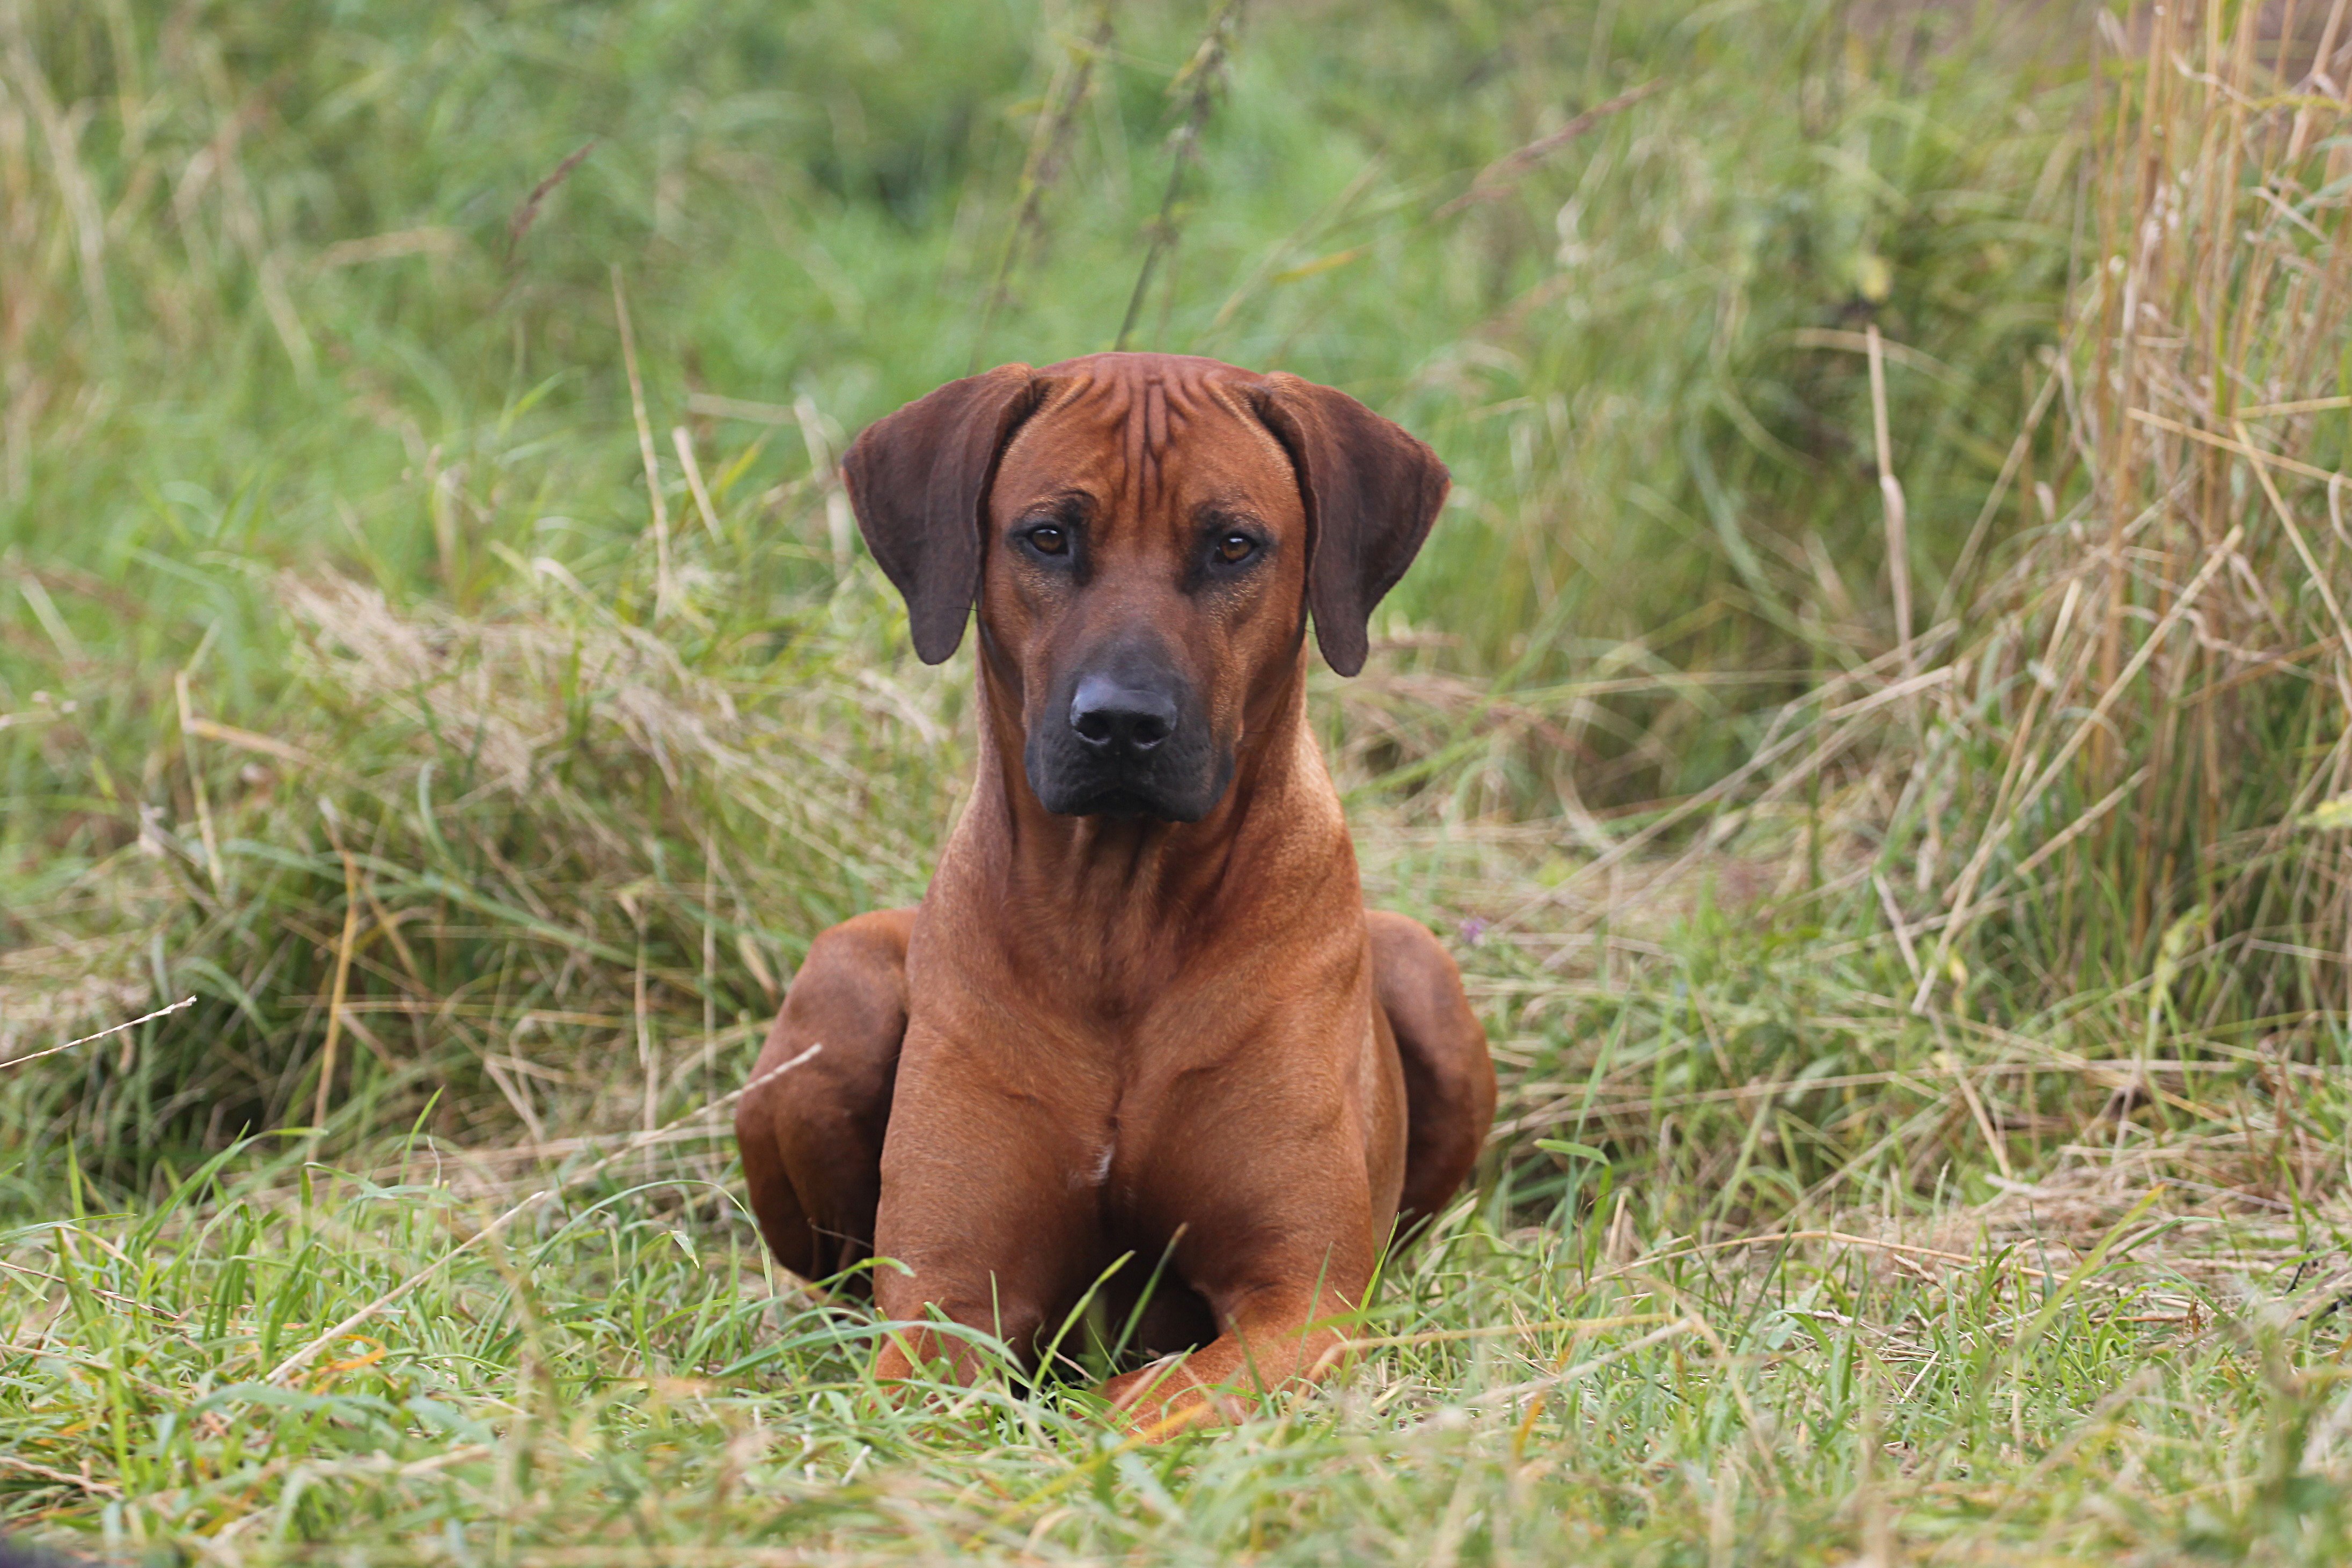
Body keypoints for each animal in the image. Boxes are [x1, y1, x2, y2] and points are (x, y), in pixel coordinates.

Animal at [734, 355, 1486, 1439]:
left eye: (1231, 544)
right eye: (1048, 535)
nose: (1122, 723)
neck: (1117, 923)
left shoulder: (1301, 1301)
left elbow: (1143, 1400)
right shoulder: (944, 1300)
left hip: (1424, 969)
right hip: (838, 987)